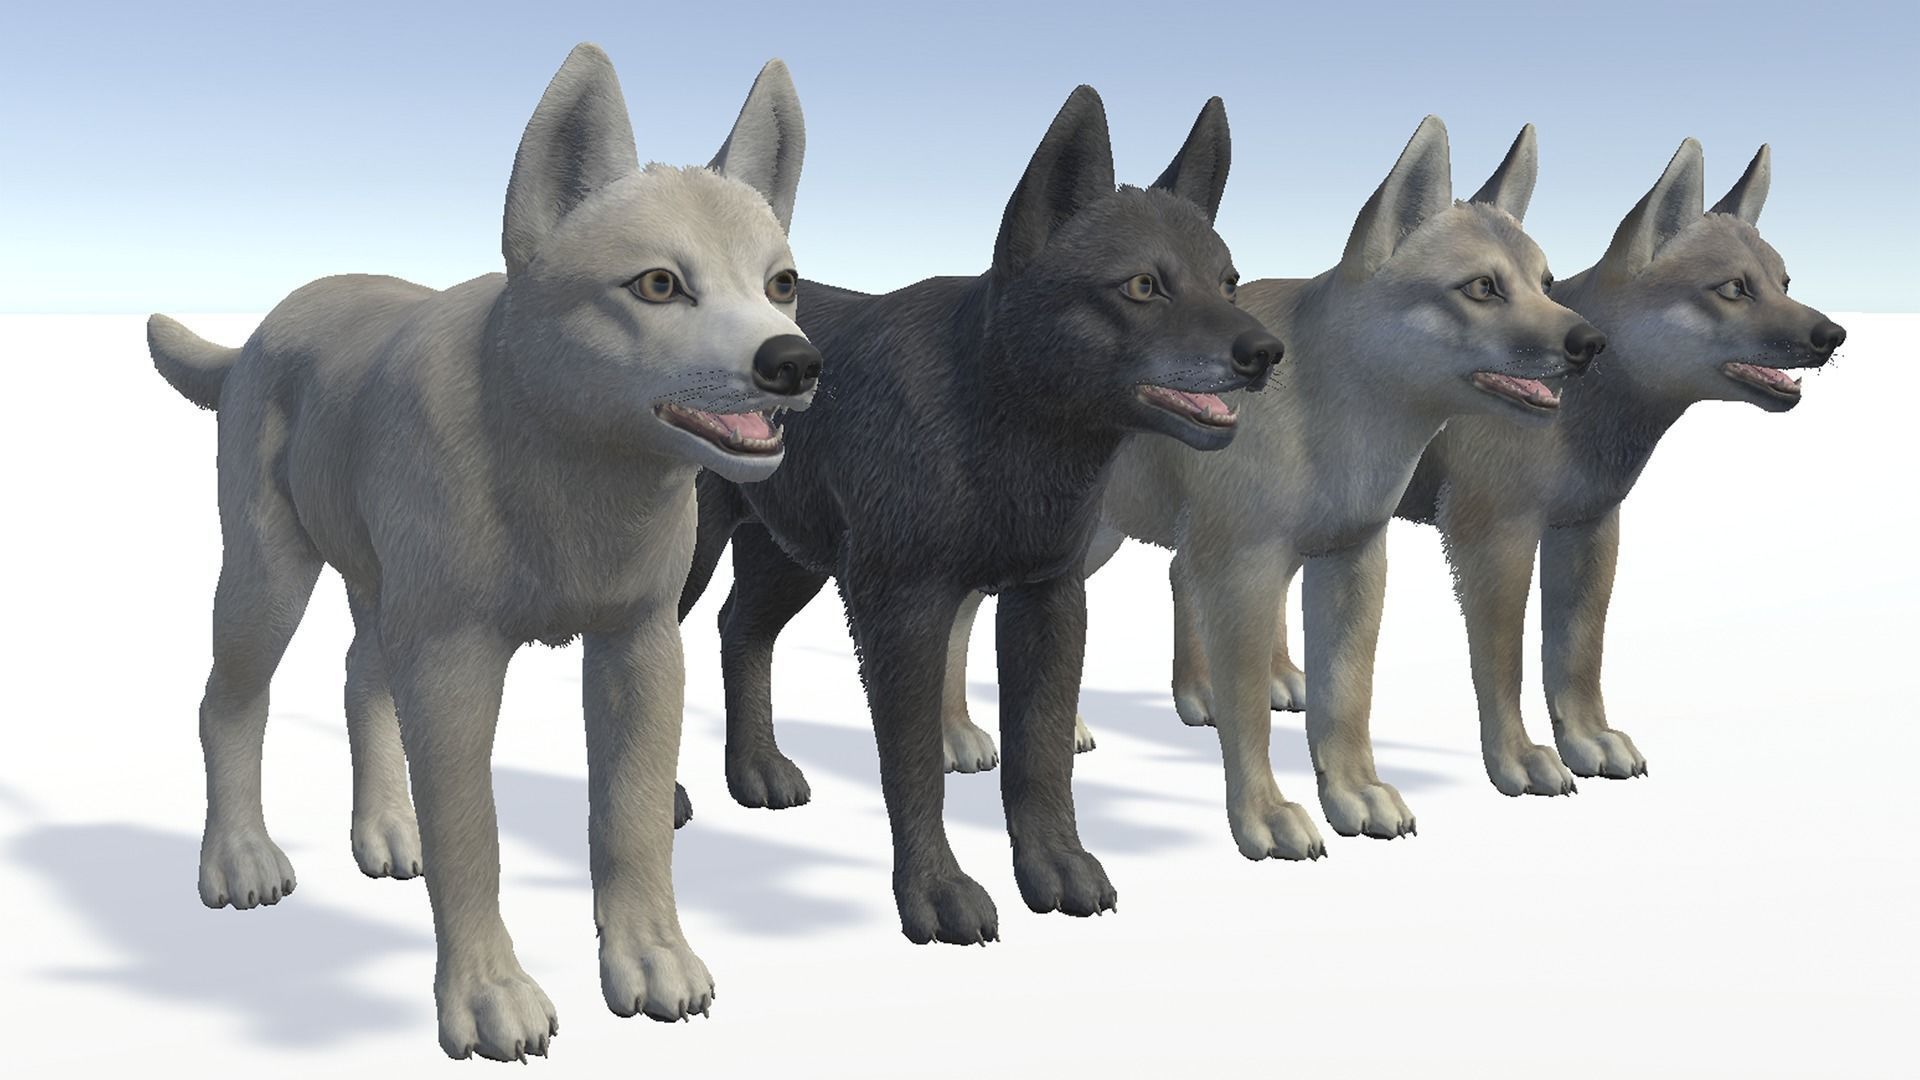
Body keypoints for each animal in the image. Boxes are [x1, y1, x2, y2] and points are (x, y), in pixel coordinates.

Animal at [146, 44, 816, 1060]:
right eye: (659, 285)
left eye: (780, 284)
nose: (794, 362)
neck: (566, 468)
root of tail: (269, 323)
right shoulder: (454, 661)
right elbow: (474, 838)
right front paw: (489, 994)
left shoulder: (640, 645)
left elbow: (630, 821)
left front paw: (651, 959)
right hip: (269, 579)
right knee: (228, 700)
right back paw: (239, 858)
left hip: (383, 591)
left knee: (359, 675)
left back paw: (389, 827)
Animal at [672, 89, 1282, 944]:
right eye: (1142, 287)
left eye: (1227, 283)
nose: (1266, 352)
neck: (1001, 423)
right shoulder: (900, 611)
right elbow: (914, 764)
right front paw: (934, 891)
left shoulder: (1048, 598)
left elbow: (1041, 752)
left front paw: (1054, 866)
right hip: (697, 557)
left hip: (788, 557)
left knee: (741, 630)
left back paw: (754, 769)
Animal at [945, 118, 1605, 859]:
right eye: (1483, 287)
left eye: (1546, 283)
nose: (1590, 342)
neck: (1329, 408)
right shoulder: (1245, 569)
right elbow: (1250, 720)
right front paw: (1262, 814)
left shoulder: (1350, 561)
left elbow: (1346, 698)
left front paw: (1352, 792)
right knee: (964, 616)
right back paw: (958, 732)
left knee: (1172, 578)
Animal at [1385, 139, 1847, 793]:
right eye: (1735, 288)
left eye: (1784, 283)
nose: (1833, 334)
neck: (1584, 408)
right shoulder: (1492, 538)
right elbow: (1503, 663)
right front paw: (1517, 757)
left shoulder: (1588, 529)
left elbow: (1578, 652)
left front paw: (1587, 739)